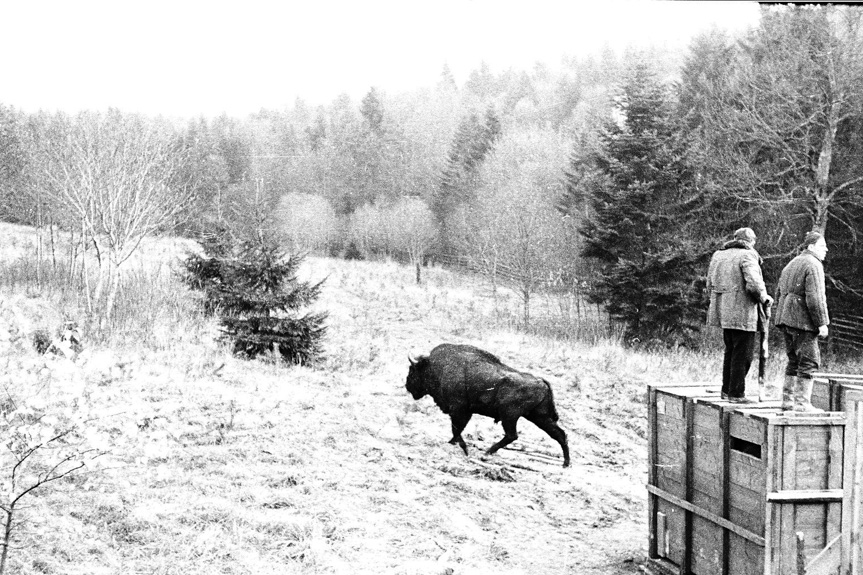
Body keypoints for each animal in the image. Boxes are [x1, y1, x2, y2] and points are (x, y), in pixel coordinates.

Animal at [408, 344, 572, 466]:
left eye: (412, 370)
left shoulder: (459, 410)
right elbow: (457, 430)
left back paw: (487, 452)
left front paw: (464, 449)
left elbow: (457, 429)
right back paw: (565, 464)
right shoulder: (463, 412)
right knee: (559, 434)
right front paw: (453, 444)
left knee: (512, 435)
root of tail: (541, 381)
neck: (436, 366)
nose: (407, 385)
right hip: (538, 417)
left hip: (510, 416)